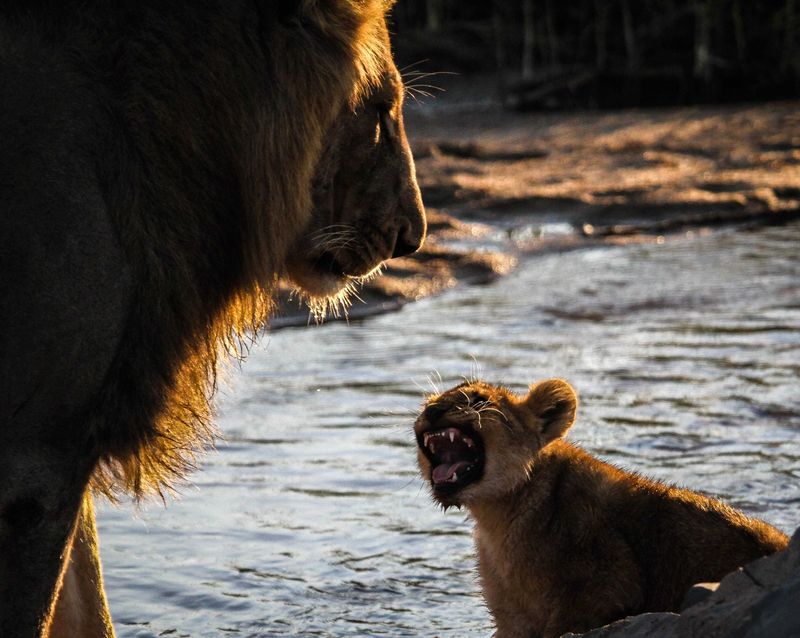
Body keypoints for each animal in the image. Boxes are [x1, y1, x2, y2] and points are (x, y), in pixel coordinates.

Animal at [414, 379, 788, 638]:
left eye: (478, 400)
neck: (498, 517)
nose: (431, 411)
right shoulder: (513, 618)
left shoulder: (605, 583)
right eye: (429, 403)